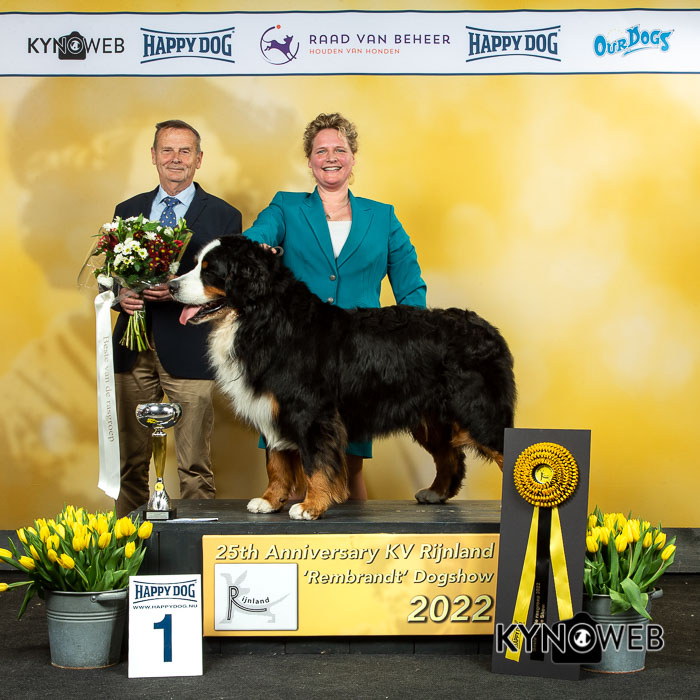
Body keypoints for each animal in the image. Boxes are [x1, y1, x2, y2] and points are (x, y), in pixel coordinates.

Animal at [169, 235, 516, 520]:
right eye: (197, 263)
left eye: (209, 270)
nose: (171, 286)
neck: (264, 319)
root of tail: (489, 329)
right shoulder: (274, 408)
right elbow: (276, 462)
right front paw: (270, 501)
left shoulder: (310, 411)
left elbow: (315, 463)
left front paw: (311, 506)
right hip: (431, 417)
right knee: (450, 456)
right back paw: (436, 493)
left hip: (479, 412)